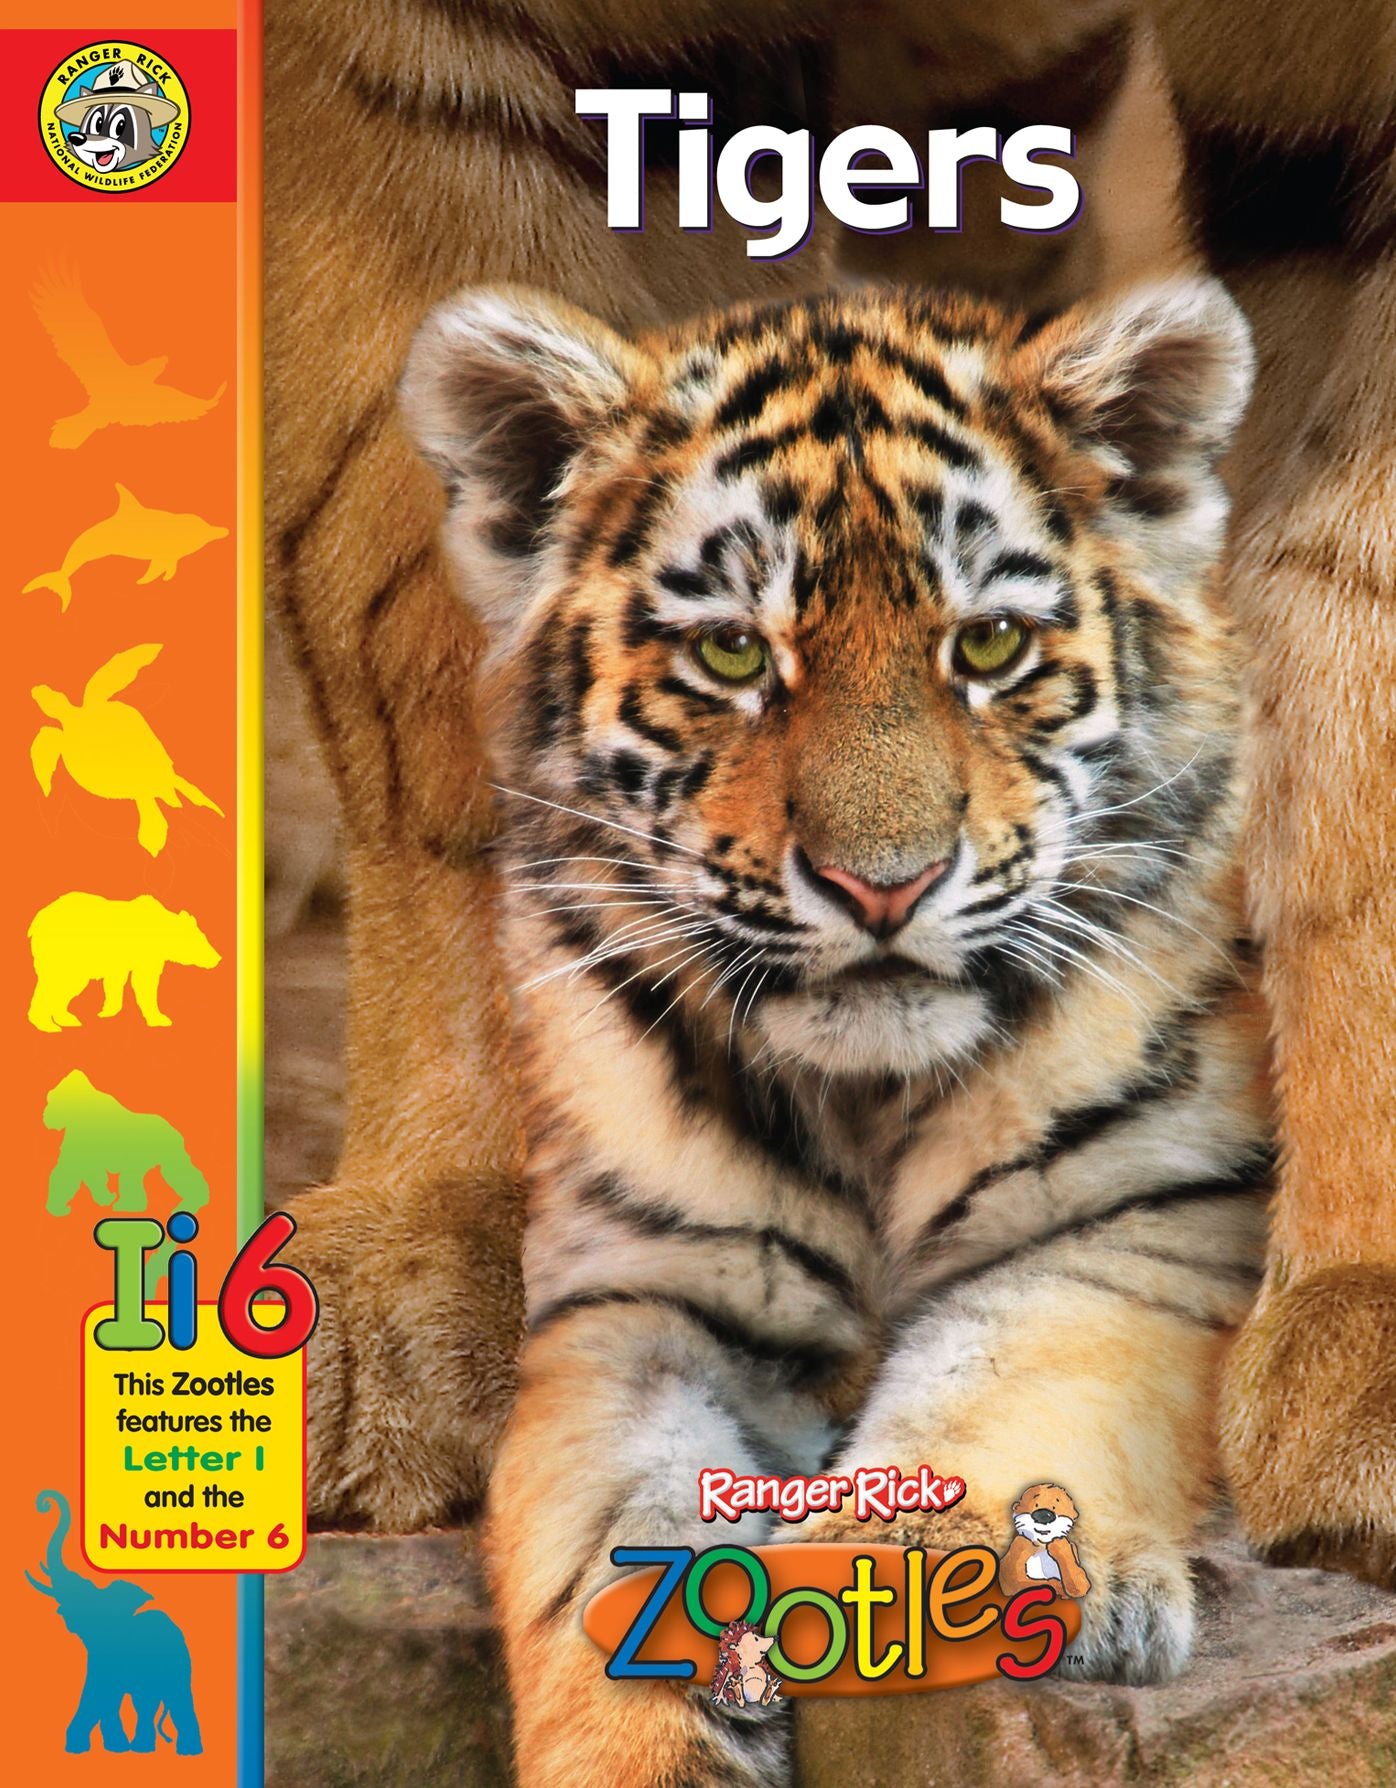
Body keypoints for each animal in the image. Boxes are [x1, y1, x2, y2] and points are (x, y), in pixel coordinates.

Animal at [401, 273, 1273, 1784]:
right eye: (732, 652)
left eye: (988, 645)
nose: (884, 885)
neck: (866, 1098)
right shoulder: (635, 1292)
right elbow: (606, 1531)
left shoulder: (1137, 1218)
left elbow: (1007, 1379)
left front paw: (924, 1564)